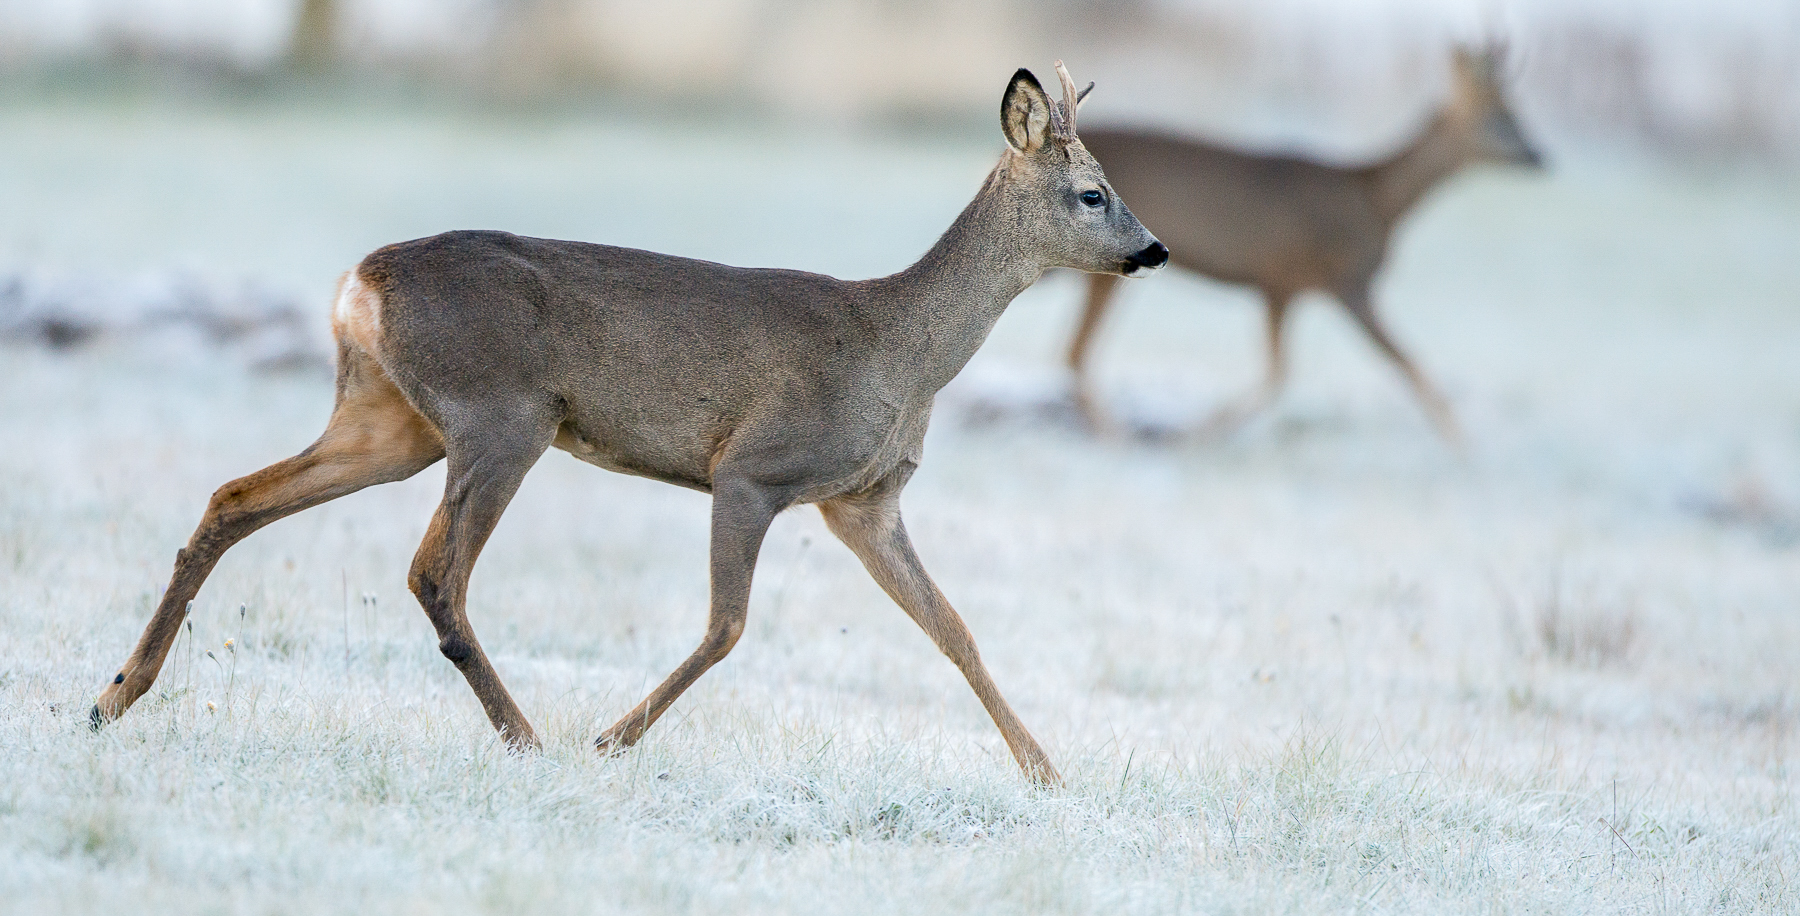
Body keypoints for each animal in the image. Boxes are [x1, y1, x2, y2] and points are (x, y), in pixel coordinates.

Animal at [87, 62, 1166, 784]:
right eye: (1092, 193)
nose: (1154, 249)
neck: (899, 346)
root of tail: (360, 281)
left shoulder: (863, 501)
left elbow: (956, 631)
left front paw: (1046, 772)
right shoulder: (754, 469)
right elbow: (728, 626)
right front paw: (612, 737)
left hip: (392, 421)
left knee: (235, 495)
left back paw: (113, 695)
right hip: (501, 415)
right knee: (434, 571)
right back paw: (526, 737)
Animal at [1058, 46, 1540, 442]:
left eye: (1515, 113)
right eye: (1501, 117)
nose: (1540, 156)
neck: (1376, 200)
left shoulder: (1293, 285)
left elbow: (1286, 373)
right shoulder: (1318, 279)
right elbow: (1401, 364)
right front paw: (1465, 449)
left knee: (1073, 351)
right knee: (1075, 352)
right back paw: (1116, 434)